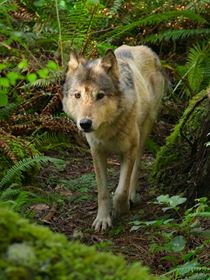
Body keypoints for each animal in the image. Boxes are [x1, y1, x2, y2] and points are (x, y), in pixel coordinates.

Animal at [63, 44, 165, 231]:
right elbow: (103, 192)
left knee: (136, 168)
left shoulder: (129, 149)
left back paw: (132, 196)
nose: (85, 123)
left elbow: (120, 191)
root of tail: (144, 47)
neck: (107, 129)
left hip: (143, 132)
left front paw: (121, 209)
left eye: (100, 95)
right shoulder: (96, 152)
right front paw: (103, 219)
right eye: (77, 95)